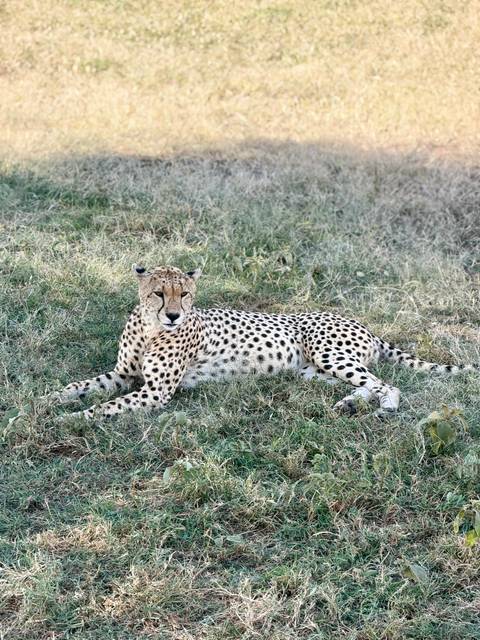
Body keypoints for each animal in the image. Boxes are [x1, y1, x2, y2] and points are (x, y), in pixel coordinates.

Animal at [52, 264, 478, 420]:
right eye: (158, 293)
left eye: (184, 294)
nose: (173, 315)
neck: (151, 328)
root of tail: (365, 325)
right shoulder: (124, 375)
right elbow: (83, 385)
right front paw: (50, 400)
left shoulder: (155, 392)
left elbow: (105, 406)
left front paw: (72, 419)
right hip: (312, 371)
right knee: (368, 383)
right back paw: (348, 403)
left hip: (327, 351)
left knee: (387, 384)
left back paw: (385, 407)